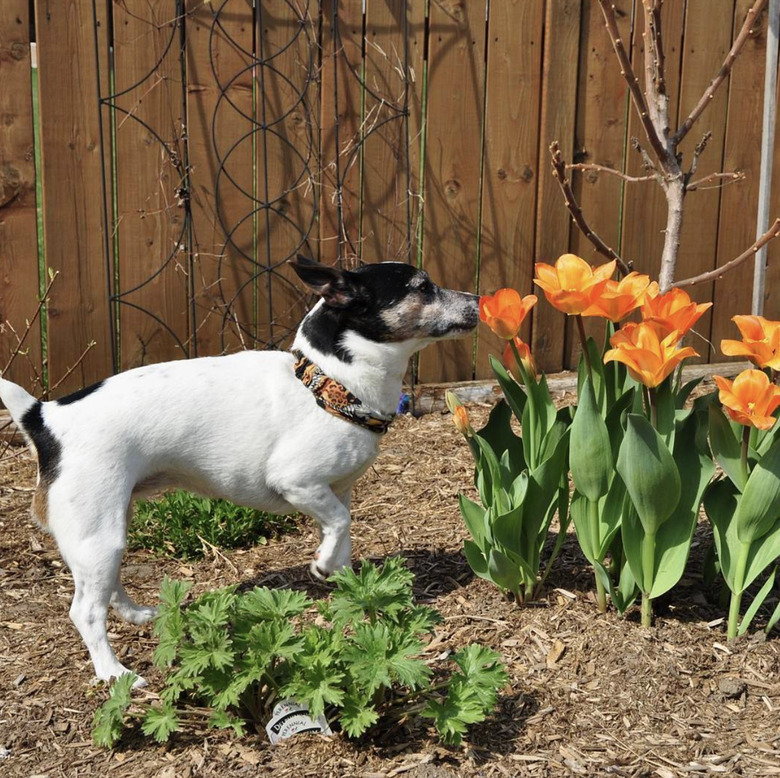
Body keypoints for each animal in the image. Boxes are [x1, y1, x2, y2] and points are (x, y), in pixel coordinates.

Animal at [0, 258, 478, 684]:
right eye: (423, 287)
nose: (477, 299)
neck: (331, 383)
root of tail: (45, 418)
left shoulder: (337, 490)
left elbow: (343, 532)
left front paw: (343, 580)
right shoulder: (298, 482)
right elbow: (341, 524)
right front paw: (322, 564)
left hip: (110, 529)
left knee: (110, 585)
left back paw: (136, 614)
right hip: (97, 534)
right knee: (85, 612)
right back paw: (114, 673)